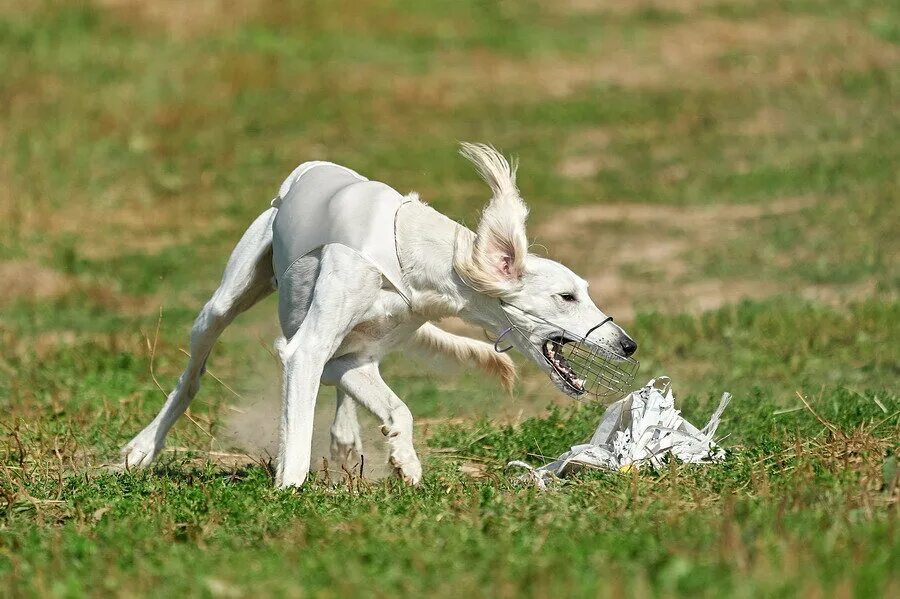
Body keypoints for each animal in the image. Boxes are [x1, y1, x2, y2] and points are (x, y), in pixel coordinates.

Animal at [121, 144, 640, 488]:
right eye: (567, 296)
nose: (628, 344)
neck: (415, 260)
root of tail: (311, 167)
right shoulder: (304, 350)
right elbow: (297, 435)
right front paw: (288, 493)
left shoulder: (355, 358)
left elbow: (398, 409)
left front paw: (404, 461)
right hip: (221, 306)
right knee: (192, 378)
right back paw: (142, 449)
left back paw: (347, 439)